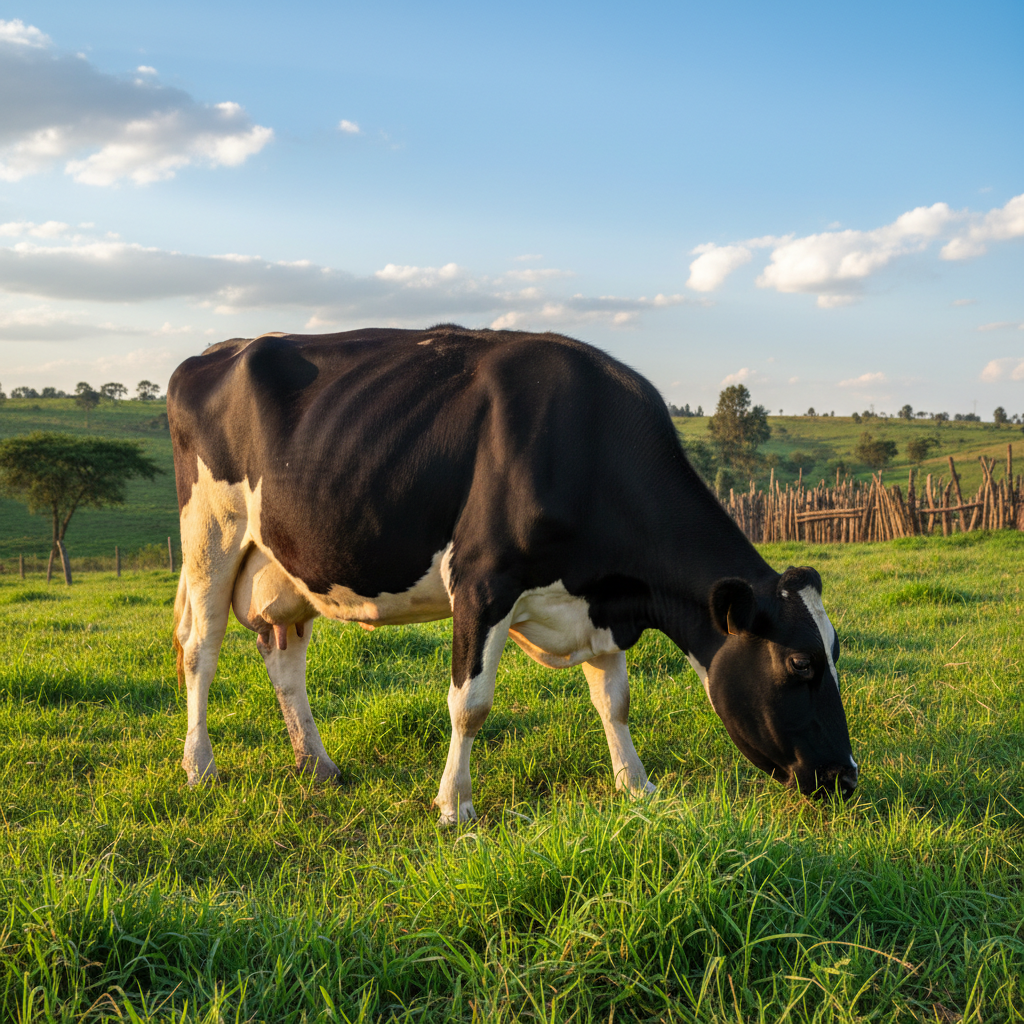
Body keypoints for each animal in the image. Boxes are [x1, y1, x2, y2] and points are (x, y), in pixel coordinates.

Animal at [168, 325, 857, 824]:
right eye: (799, 663)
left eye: (836, 653)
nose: (846, 777)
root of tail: (215, 351)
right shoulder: (482, 582)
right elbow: (469, 704)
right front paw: (454, 807)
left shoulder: (599, 602)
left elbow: (615, 702)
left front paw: (637, 788)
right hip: (210, 535)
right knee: (201, 649)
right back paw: (200, 767)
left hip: (285, 567)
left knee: (284, 660)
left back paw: (317, 766)